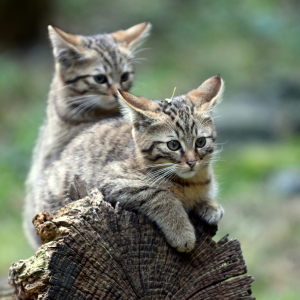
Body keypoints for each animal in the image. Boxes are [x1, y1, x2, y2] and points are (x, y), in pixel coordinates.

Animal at [28, 75, 225, 251]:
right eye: (173, 145)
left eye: (201, 142)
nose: (192, 162)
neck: (190, 182)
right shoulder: (109, 181)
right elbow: (160, 195)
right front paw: (181, 232)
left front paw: (210, 206)